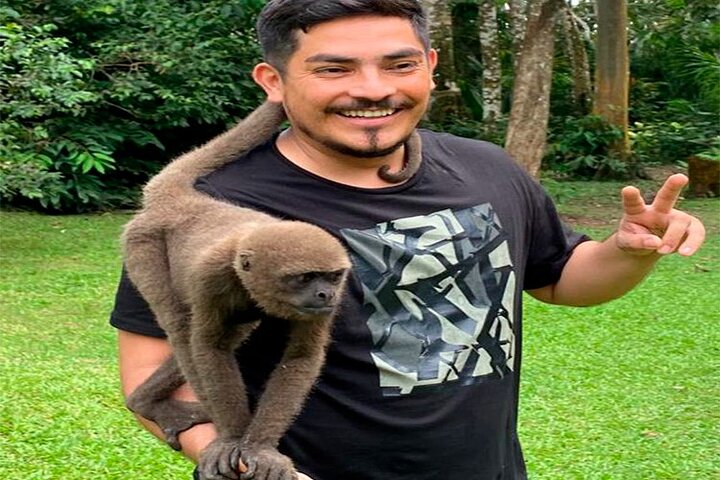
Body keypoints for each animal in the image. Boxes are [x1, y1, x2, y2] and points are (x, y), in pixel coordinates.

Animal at [120, 101, 424, 480]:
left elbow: (301, 356)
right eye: (304, 278)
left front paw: (260, 448)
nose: (324, 295)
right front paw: (232, 439)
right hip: (142, 241)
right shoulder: (210, 277)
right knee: (180, 326)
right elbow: (209, 347)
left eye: (331, 277)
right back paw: (147, 403)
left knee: (234, 330)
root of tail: (183, 202)